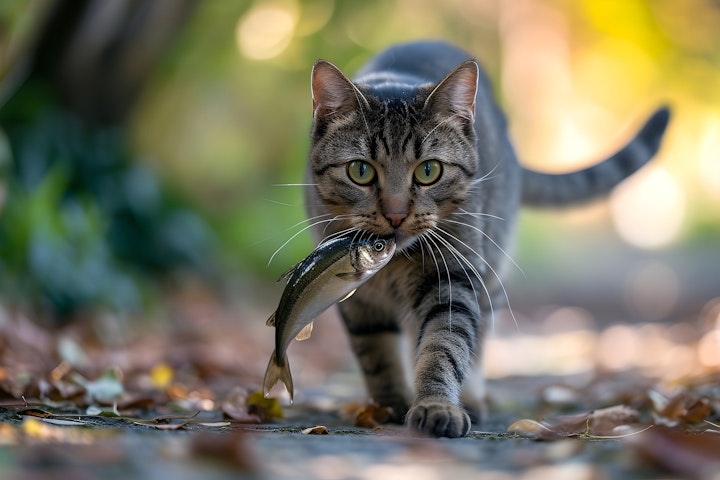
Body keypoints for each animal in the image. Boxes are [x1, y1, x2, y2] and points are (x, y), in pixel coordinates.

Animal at [302, 40, 668, 438]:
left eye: (428, 171)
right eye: (360, 171)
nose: (396, 214)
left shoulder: (452, 277)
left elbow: (443, 347)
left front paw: (436, 405)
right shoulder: (355, 294)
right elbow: (376, 354)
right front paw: (388, 405)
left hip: (490, 270)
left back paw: (471, 400)